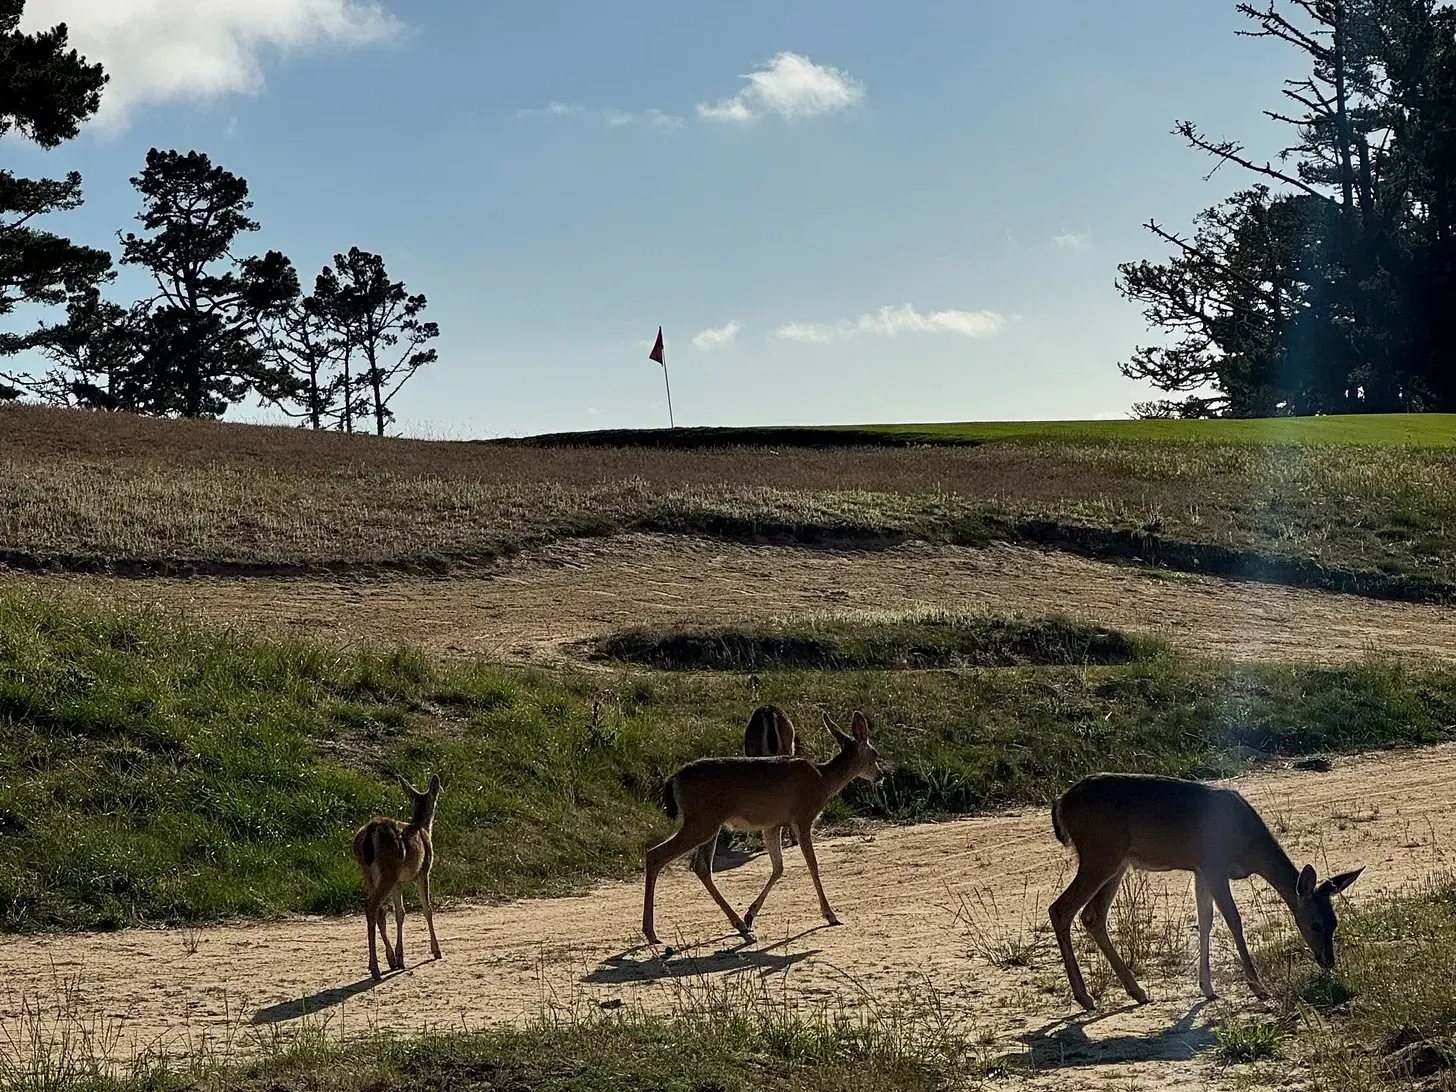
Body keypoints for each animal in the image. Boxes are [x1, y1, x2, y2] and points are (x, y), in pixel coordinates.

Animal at [352, 773, 444, 981]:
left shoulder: (398, 883)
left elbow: (400, 913)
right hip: (389, 870)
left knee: (378, 910)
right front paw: (436, 951)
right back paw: (375, 969)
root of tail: (371, 830)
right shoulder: (424, 871)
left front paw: (399, 957)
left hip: (369, 872)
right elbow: (427, 909)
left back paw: (388, 960)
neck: (422, 828)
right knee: (372, 907)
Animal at [643, 711, 880, 947]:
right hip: (701, 821)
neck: (823, 780)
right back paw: (652, 933)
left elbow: (778, 867)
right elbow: (812, 864)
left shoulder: (772, 825)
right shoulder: (802, 817)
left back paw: (740, 924)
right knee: (656, 855)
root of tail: (673, 780)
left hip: (709, 824)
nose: (881, 775)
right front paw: (830, 915)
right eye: (875, 753)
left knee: (700, 867)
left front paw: (750, 914)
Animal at [1049, 772, 1363, 1010]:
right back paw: (1086, 998)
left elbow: (1206, 920)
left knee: (1092, 916)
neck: (1248, 845)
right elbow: (1233, 919)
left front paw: (1207, 988)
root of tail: (1061, 802)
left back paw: (1136, 992)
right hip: (1100, 854)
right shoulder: (1214, 865)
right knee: (1060, 909)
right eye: (1315, 924)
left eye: (1335, 923)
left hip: (1117, 862)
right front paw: (1258, 986)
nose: (1328, 961)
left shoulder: (1200, 870)